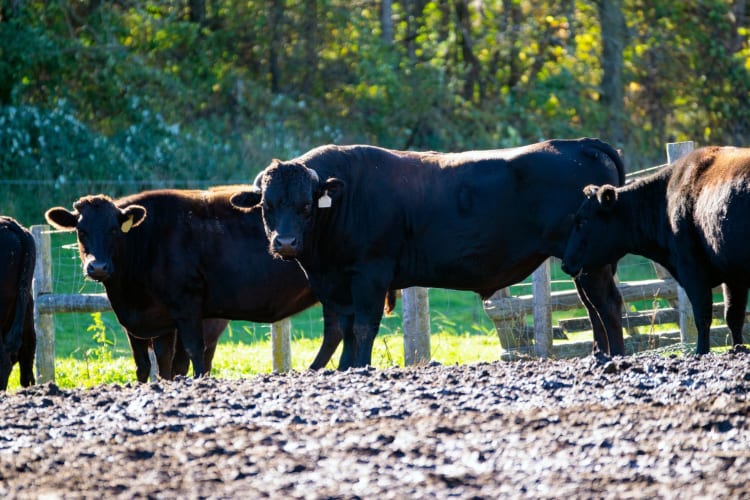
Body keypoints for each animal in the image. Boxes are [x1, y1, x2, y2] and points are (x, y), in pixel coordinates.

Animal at [234, 139, 628, 370]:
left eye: (305, 206)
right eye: (267, 205)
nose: (285, 243)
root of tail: (579, 144)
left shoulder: (371, 273)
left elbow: (363, 326)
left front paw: (360, 366)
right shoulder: (336, 281)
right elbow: (343, 327)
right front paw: (343, 367)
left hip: (593, 263)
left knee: (607, 304)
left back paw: (615, 357)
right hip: (584, 262)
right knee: (592, 306)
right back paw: (599, 354)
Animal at [564, 145, 750, 356]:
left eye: (583, 221)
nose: (565, 263)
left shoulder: (692, 270)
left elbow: (702, 316)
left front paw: (701, 351)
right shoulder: (732, 275)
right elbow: (733, 316)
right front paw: (738, 349)